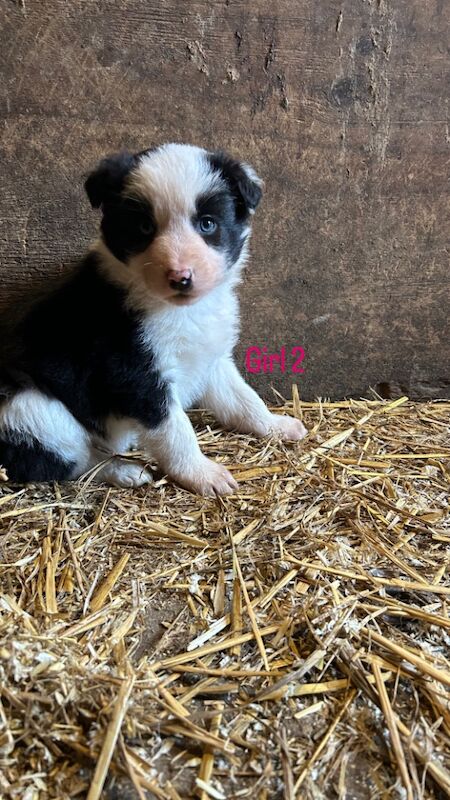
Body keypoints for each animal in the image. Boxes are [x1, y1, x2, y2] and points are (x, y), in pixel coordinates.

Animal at [0, 144, 306, 494]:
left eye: (207, 224)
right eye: (145, 228)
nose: (180, 277)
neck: (181, 310)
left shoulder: (211, 357)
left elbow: (243, 399)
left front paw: (275, 425)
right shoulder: (133, 372)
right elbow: (175, 429)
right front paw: (203, 474)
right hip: (31, 409)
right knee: (65, 460)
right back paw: (124, 470)